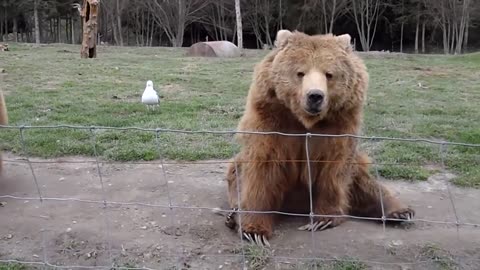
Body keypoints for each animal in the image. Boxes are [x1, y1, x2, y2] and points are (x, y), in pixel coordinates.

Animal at [223, 29, 414, 247]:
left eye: (329, 74)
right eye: (300, 72)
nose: (315, 96)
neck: (305, 121)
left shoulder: (338, 126)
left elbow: (333, 169)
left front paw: (322, 220)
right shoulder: (271, 121)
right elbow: (263, 168)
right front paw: (254, 231)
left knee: (365, 183)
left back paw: (400, 212)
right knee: (236, 175)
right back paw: (233, 215)